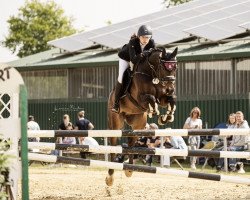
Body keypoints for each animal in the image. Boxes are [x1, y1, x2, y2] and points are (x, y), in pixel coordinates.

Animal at [105, 47, 178, 186]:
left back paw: (129, 170)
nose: (171, 89)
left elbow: (171, 100)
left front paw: (165, 118)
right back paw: (110, 176)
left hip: (138, 123)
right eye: (163, 67)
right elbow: (151, 98)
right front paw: (153, 110)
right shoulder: (140, 98)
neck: (151, 73)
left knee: (131, 142)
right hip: (116, 123)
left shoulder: (163, 98)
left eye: (175, 67)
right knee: (113, 144)